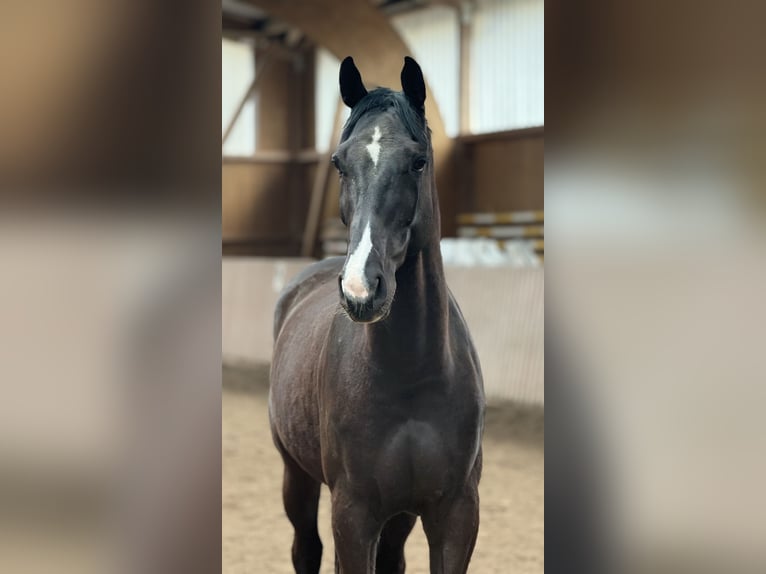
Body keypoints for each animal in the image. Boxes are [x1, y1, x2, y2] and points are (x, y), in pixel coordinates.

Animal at [269, 56, 485, 574]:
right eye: (338, 162)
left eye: (418, 160)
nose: (360, 288)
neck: (412, 375)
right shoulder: (353, 514)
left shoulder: (456, 514)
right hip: (296, 477)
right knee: (305, 549)